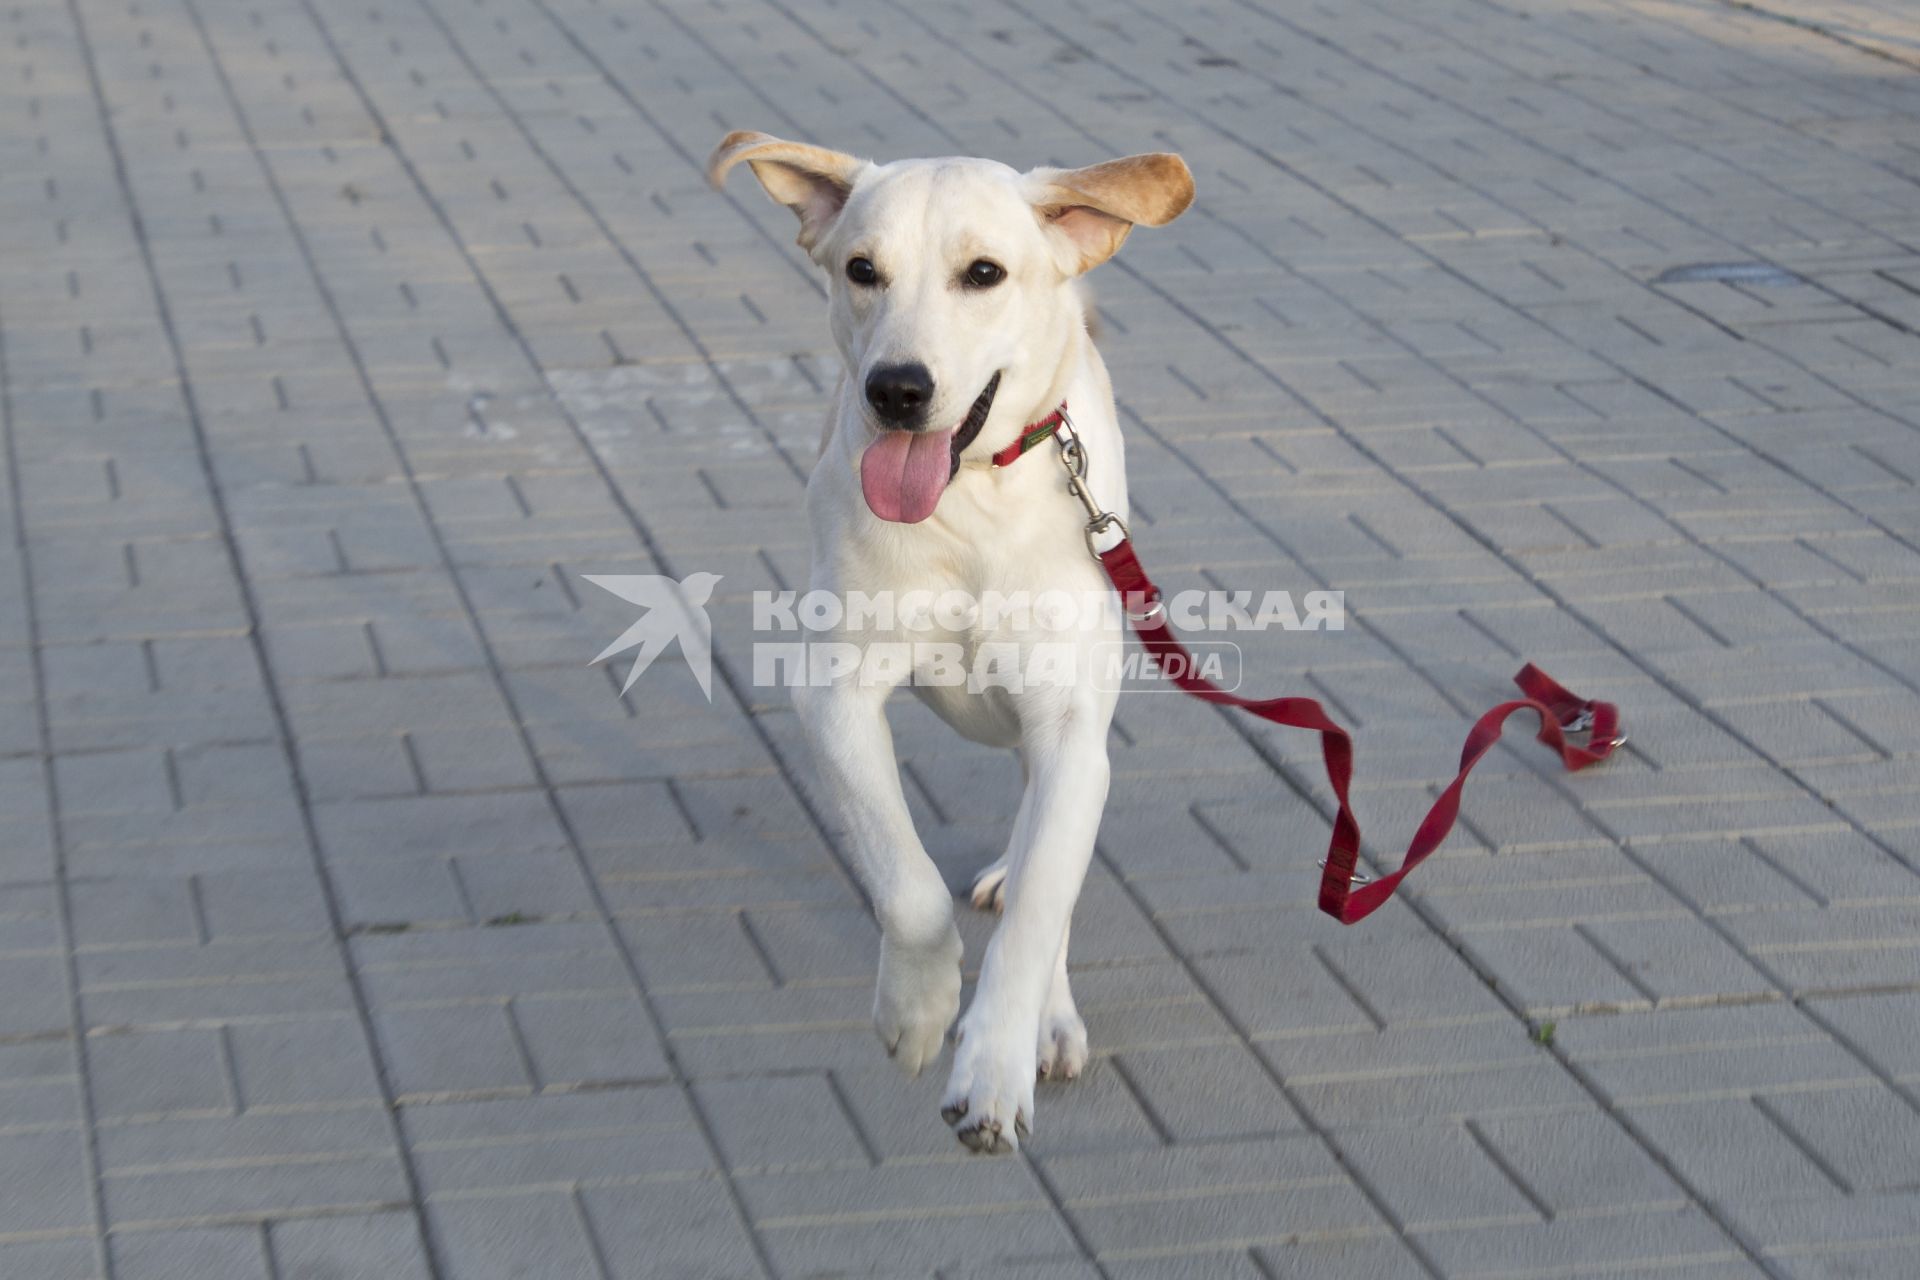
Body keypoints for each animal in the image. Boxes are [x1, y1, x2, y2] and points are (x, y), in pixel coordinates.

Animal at [706, 130, 1182, 1151]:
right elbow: (906, 882)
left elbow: (1042, 903)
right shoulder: (833, 696)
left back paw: (1049, 1014)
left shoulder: (1071, 725)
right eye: (861, 270)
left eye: (984, 273)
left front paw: (996, 1064)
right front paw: (917, 1016)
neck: (969, 505)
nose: (897, 390)